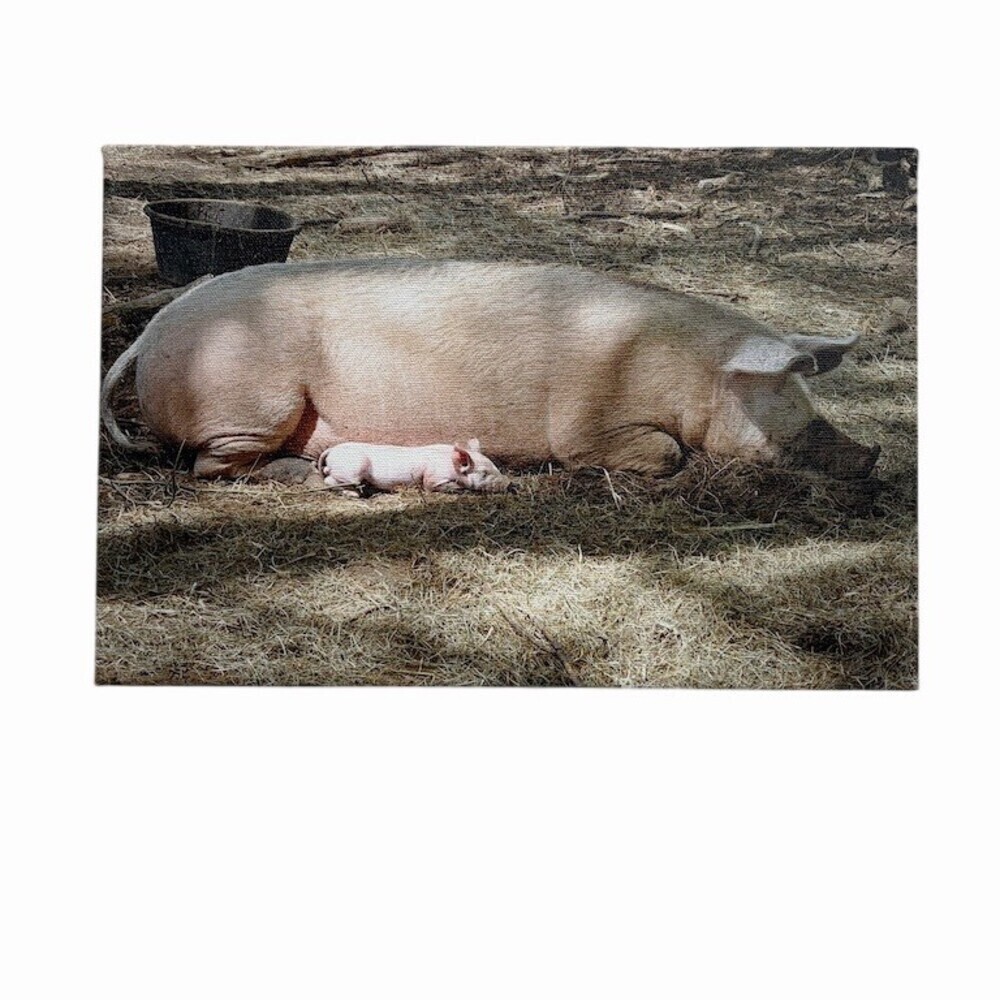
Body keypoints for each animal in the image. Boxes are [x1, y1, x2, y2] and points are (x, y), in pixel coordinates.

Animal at [100, 259, 880, 482]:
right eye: (775, 398)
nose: (873, 456)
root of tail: (156, 327)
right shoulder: (587, 427)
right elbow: (663, 454)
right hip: (250, 405)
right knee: (209, 467)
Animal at [320, 439, 512, 495]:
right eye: (483, 473)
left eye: (495, 467)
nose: (510, 484)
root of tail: (332, 450)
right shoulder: (433, 478)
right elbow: (430, 485)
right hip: (353, 469)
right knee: (329, 479)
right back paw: (354, 494)